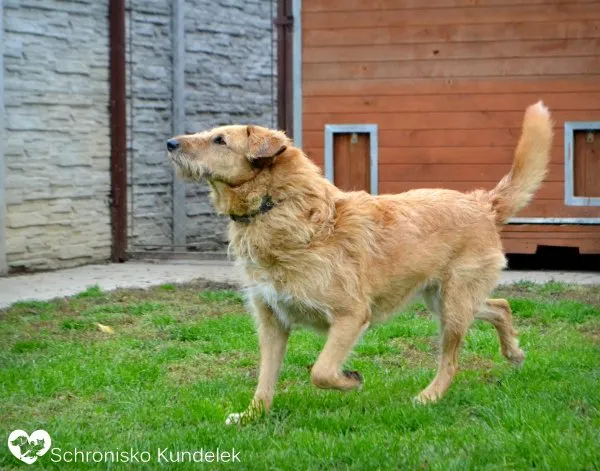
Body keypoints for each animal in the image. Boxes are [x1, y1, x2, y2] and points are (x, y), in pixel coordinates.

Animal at [165, 102, 552, 424]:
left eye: (219, 140)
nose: (169, 143)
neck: (281, 207)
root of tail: (482, 203)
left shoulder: (351, 316)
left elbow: (321, 372)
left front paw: (350, 381)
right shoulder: (272, 321)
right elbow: (265, 379)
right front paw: (252, 416)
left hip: (453, 308)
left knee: (452, 360)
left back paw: (429, 396)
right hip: (442, 299)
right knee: (500, 305)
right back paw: (513, 353)